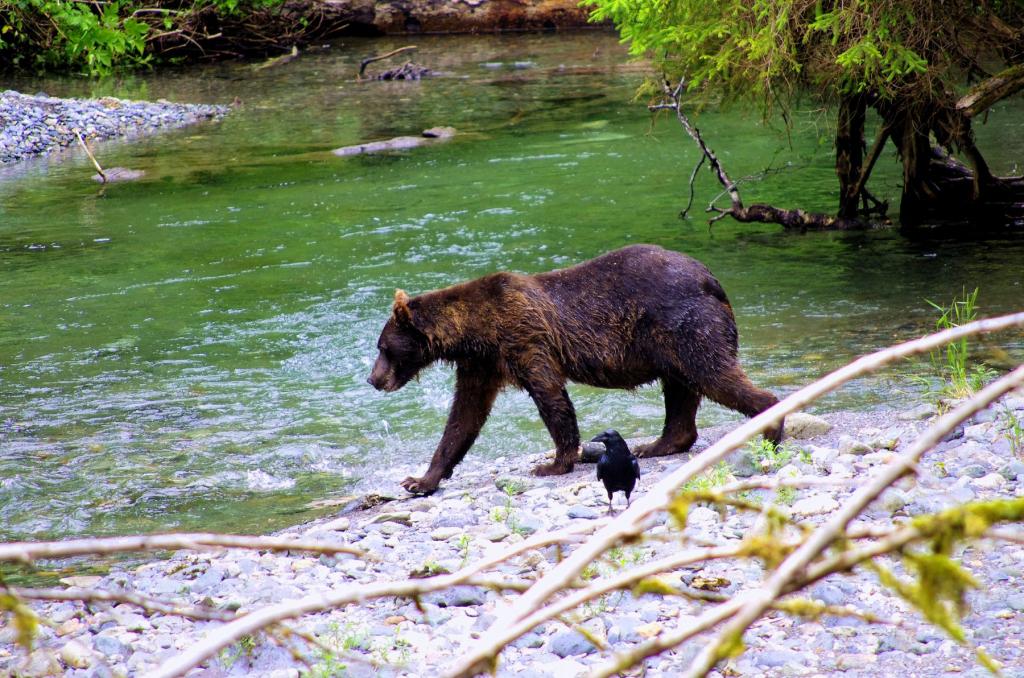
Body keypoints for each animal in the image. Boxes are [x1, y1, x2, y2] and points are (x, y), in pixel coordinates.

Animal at [367, 244, 782, 495]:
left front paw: (554, 463)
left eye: (383, 348)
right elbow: (463, 418)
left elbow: (551, 398)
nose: (373, 379)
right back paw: (657, 444)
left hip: (683, 325)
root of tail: (710, 278)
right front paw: (420, 480)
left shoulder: (525, 338)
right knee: (681, 388)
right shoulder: (481, 364)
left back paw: (771, 424)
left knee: (712, 374)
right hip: (669, 341)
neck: (476, 331)